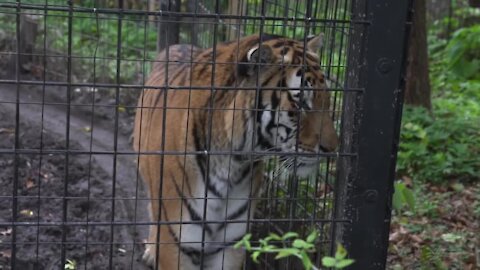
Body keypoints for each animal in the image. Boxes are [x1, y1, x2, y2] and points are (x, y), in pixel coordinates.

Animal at [133, 33, 340, 270]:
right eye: (301, 104)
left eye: (327, 100)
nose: (332, 148)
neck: (232, 163)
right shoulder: (177, 246)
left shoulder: (231, 244)